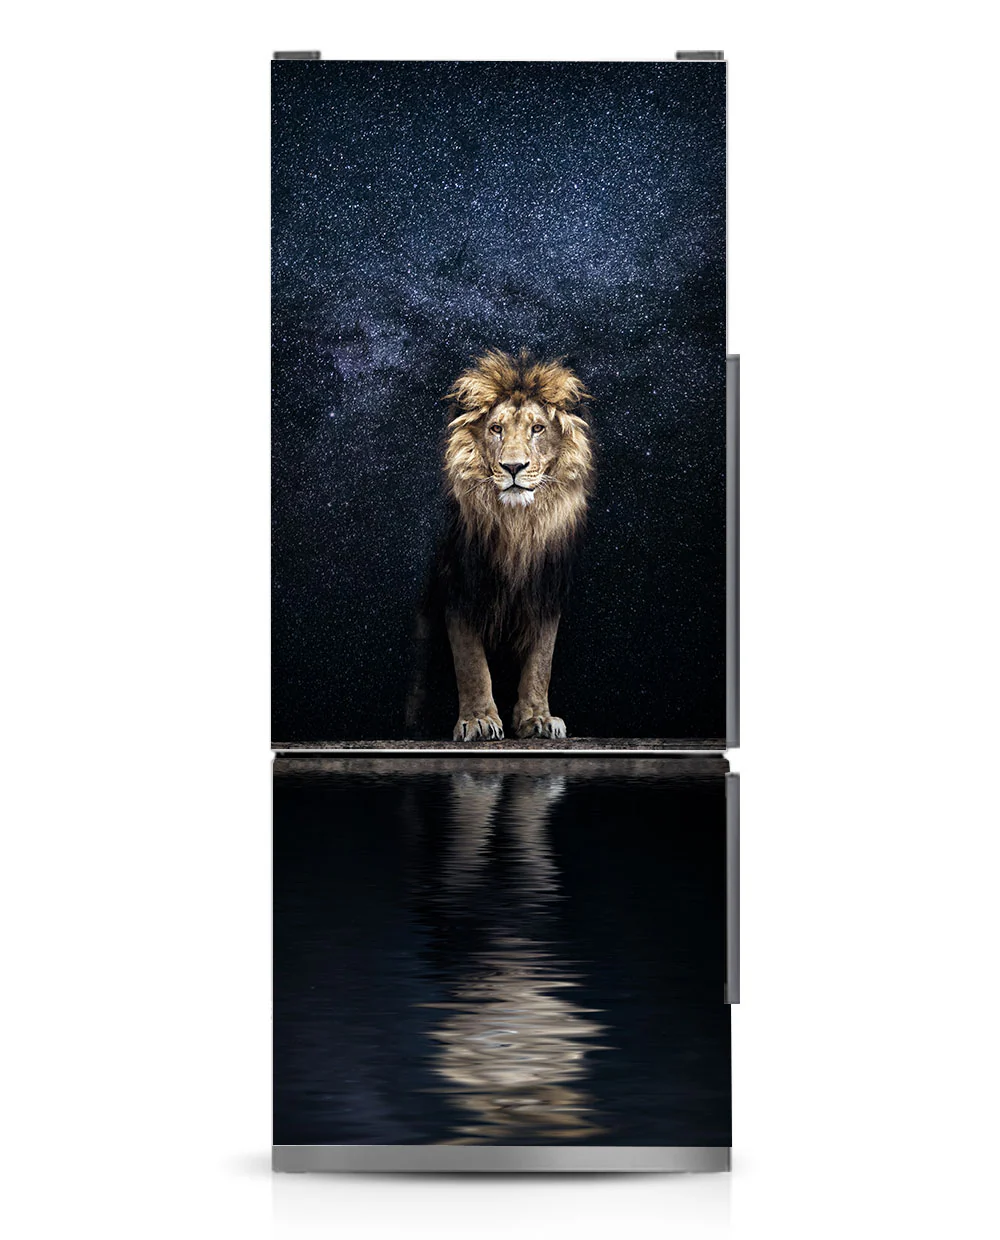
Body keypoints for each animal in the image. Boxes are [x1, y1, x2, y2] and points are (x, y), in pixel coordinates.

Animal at [431, 349, 594, 741]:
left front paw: (537, 718)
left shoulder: (547, 591)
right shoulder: (461, 586)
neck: (517, 526)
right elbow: (471, 662)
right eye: (496, 429)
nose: (513, 466)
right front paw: (478, 719)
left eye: (537, 429)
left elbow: (540, 662)